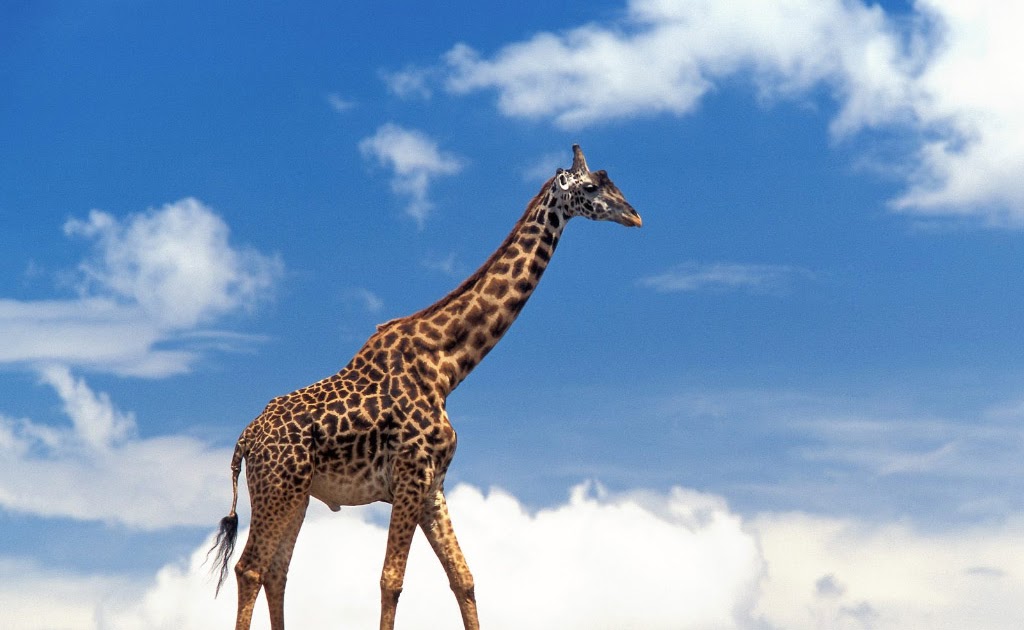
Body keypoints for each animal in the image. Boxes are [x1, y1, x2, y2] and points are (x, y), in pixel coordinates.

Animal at [209, 144, 641, 630]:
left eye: (611, 179)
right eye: (592, 186)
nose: (635, 215)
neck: (448, 367)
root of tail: (244, 440)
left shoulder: (433, 485)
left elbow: (464, 579)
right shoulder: (410, 474)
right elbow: (391, 580)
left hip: (295, 494)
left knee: (277, 572)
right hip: (277, 487)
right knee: (250, 568)